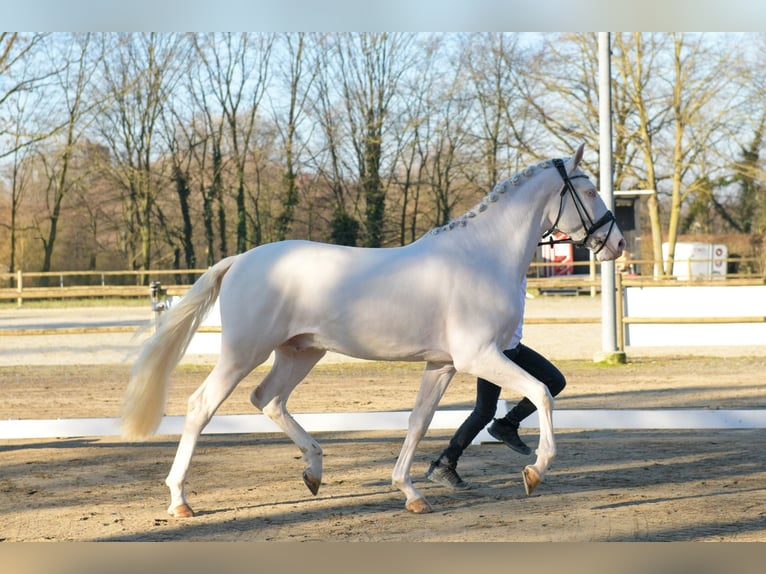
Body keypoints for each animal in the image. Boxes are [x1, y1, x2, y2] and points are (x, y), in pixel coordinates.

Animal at [120, 144, 624, 516]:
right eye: (589, 190)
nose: (615, 243)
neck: (482, 256)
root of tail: (240, 259)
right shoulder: (479, 356)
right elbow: (542, 392)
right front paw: (536, 471)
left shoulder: (443, 365)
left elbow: (419, 422)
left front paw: (411, 493)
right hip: (245, 351)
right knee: (201, 405)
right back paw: (180, 500)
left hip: (301, 351)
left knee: (268, 400)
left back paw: (314, 471)